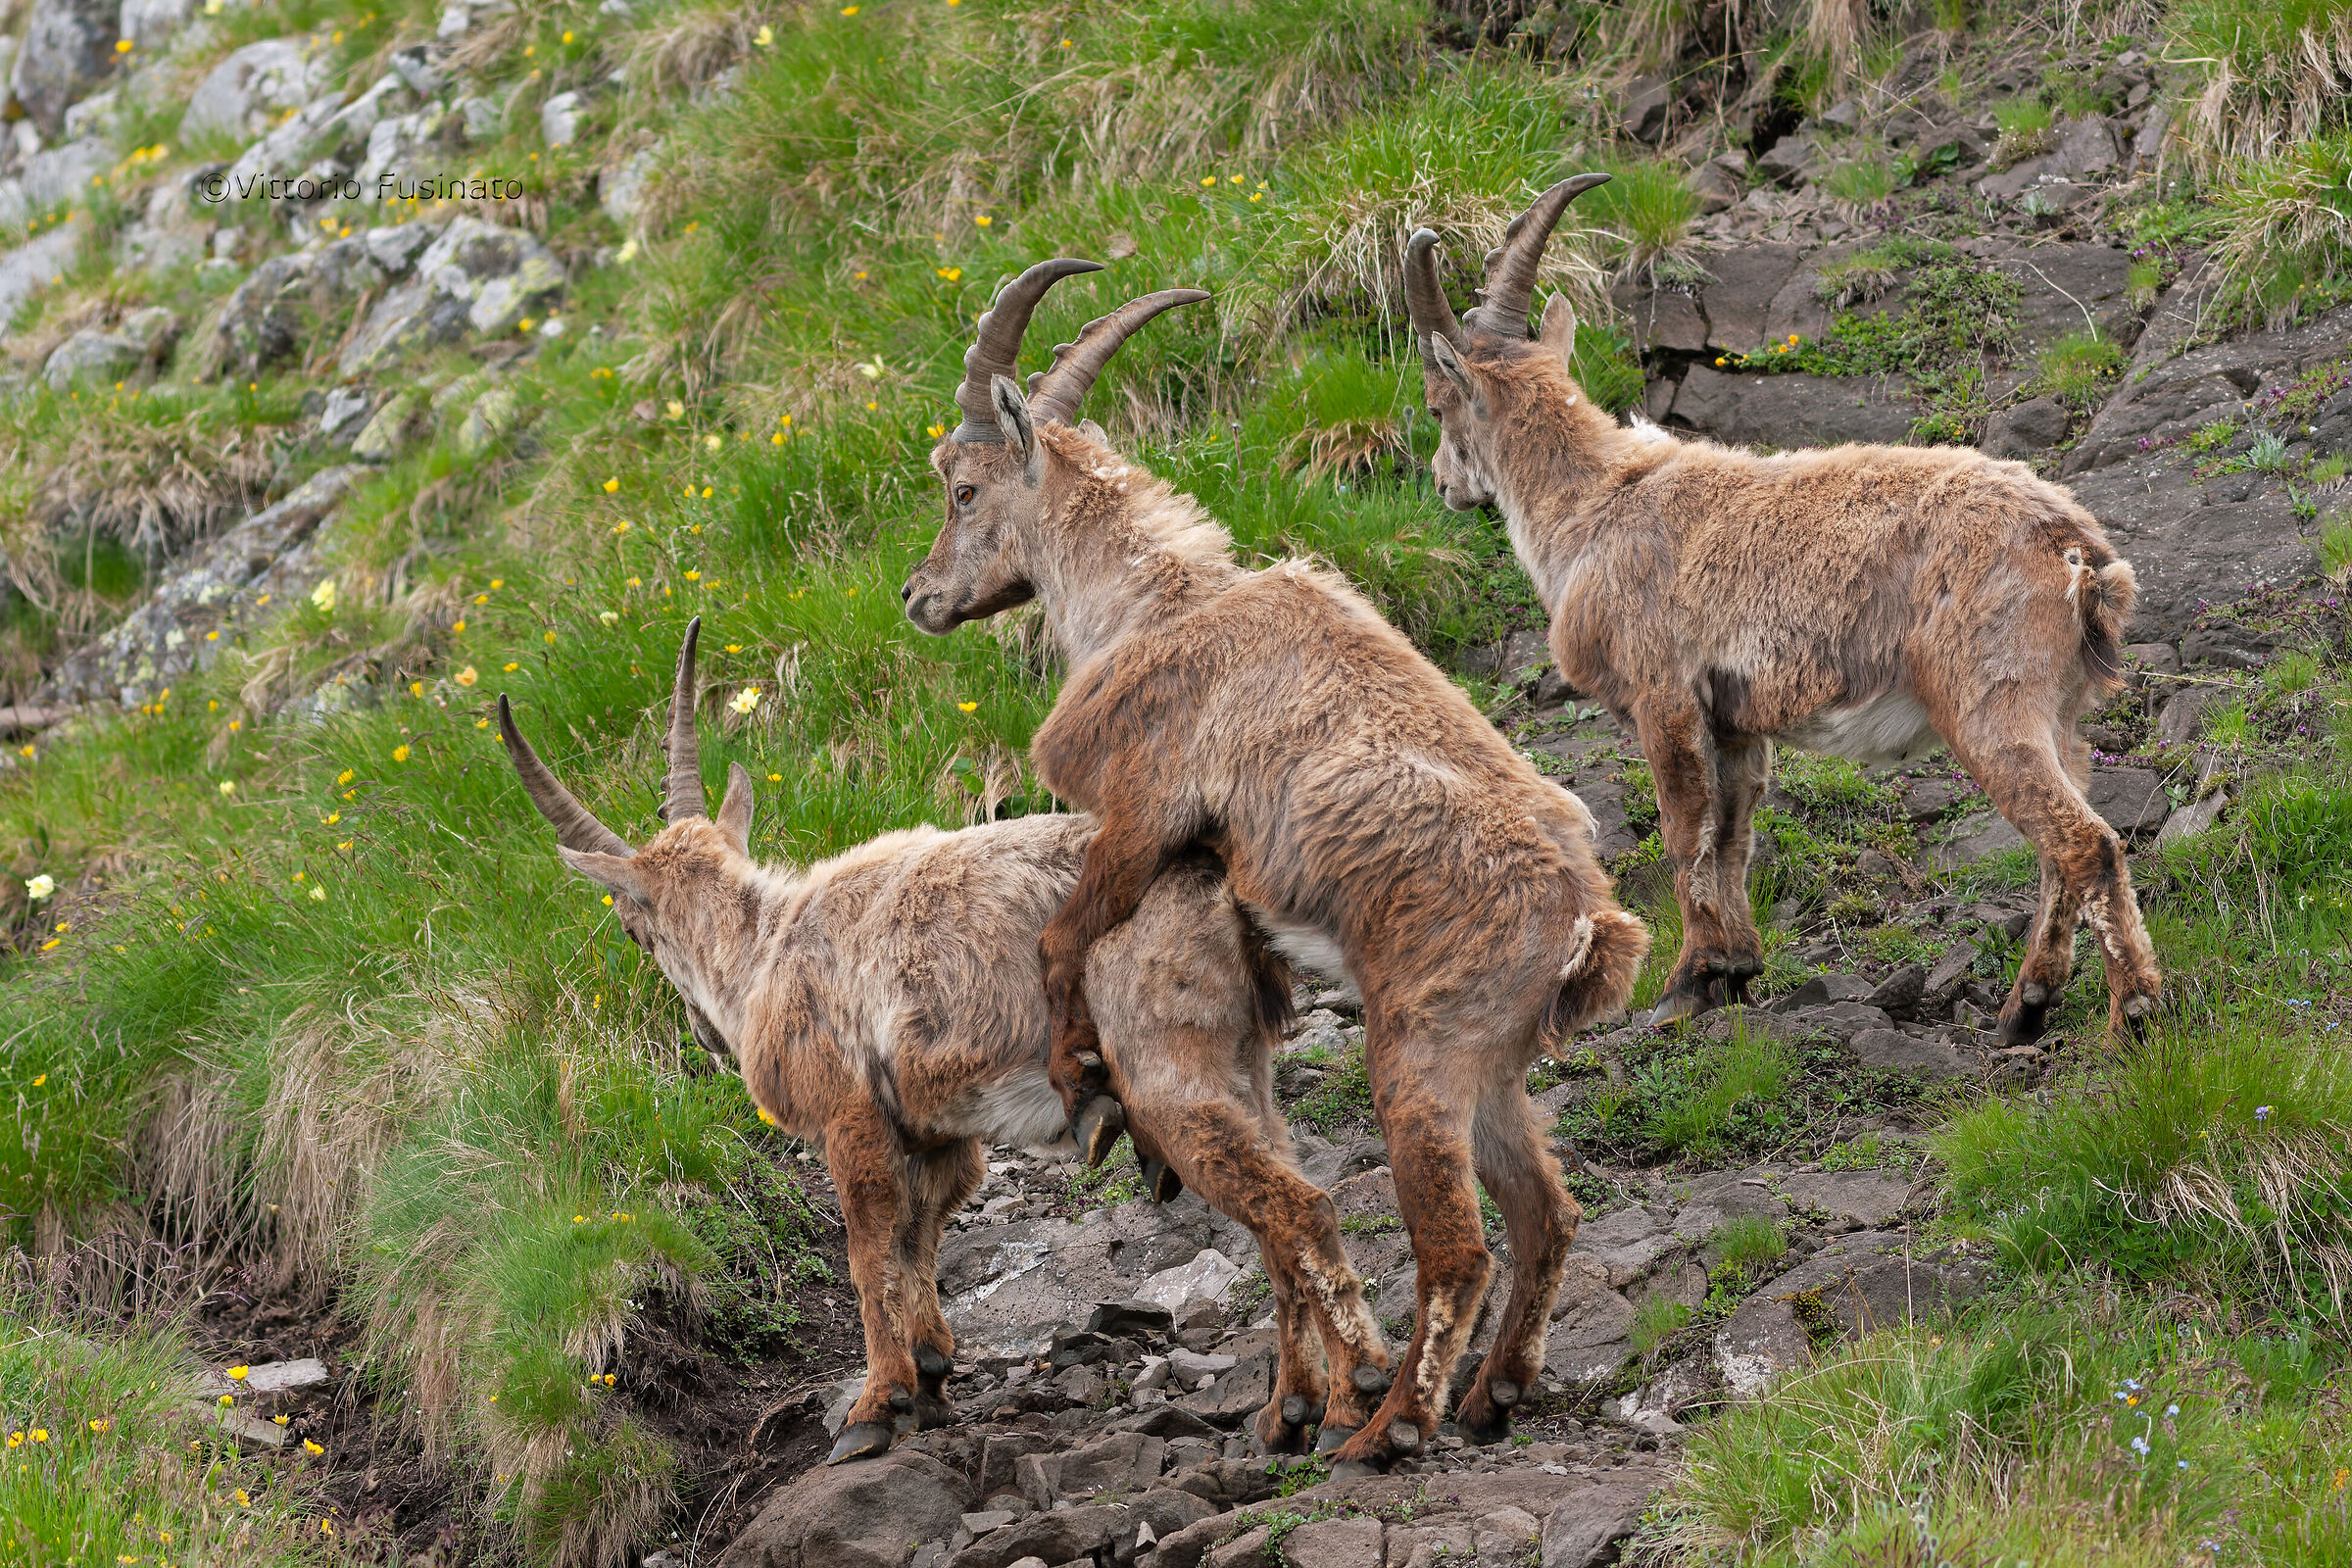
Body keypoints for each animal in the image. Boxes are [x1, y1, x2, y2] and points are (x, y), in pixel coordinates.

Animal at [496, 618, 1389, 1464]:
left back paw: (1355, 1402)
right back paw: (1290, 1410)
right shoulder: (934, 1132)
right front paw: (928, 1377)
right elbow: (918, 1235)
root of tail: (1218, 885)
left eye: (633, 930)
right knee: (1276, 1218)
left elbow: (868, 1251)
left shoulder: (849, 1117)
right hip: (1242, 1066)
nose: (704, 1036)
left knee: (1299, 1209)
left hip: (1166, 1068)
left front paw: (873, 1408)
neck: (765, 951)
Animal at [901, 263, 1649, 1474]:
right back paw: (1491, 1395)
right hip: (1490, 1070)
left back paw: (1390, 1426)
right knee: (1547, 1213)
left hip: (1418, 1054)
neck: (1151, 603)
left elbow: (1067, 935)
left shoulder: (1142, 810)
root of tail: (1589, 928)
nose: (919, 596)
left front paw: (1084, 1077)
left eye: (963, 488)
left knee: (1457, 1248)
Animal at [1403, 175, 2161, 1045]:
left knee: (2084, 843)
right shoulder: (1735, 721)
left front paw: (1685, 986)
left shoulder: (1663, 696)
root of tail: (2077, 551)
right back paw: (2024, 1007)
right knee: (2058, 843)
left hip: (1989, 701)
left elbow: (1685, 835)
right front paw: (1734, 971)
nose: (1443, 485)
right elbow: (1732, 836)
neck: (1594, 506)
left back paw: (2129, 1013)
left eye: (1436, 404)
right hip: (2061, 712)